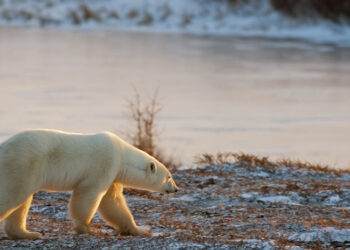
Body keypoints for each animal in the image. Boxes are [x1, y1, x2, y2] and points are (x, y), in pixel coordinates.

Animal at [0, 130, 178, 239]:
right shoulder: (105, 164)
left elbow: (113, 203)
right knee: (14, 196)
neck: (122, 155)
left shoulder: (114, 174)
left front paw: (140, 229)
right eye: (169, 177)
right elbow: (89, 194)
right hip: (25, 163)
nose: (176, 189)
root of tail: (3, 147)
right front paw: (85, 228)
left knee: (22, 201)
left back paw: (29, 233)